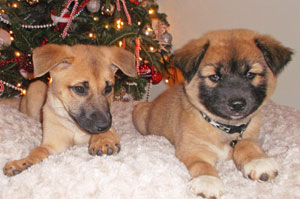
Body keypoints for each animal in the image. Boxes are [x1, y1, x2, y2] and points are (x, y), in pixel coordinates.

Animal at [2, 44, 137, 176]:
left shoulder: (111, 128)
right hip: (36, 86)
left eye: (108, 88)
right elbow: (38, 150)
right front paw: (23, 162)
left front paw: (103, 141)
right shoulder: (53, 145)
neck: (74, 126)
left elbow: (108, 133)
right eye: (80, 89)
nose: (104, 125)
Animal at [133, 28, 292, 198]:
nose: (237, 104)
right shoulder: (192, 149)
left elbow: (247, 144)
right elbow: (201, 164)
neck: (225, 129)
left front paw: (258, 161)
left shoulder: (249, 136)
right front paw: (208, 180)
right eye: (214, 76)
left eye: (250, 74)